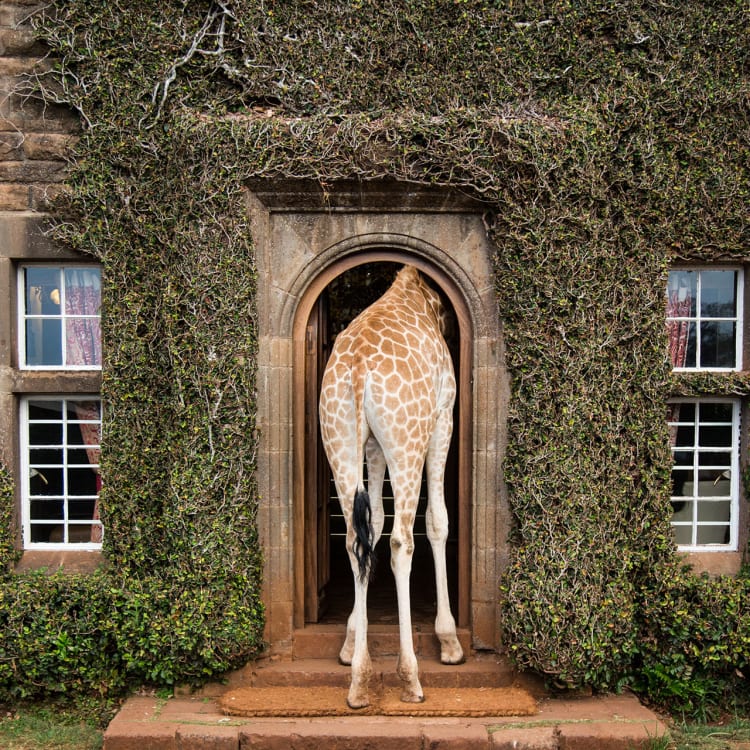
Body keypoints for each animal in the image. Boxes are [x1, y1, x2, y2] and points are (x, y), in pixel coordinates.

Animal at [318, 264, 464, 709]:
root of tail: (359, 367)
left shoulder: (372, 444)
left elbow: (376, 522)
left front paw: (351, 639)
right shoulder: (444, 417)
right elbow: (437, 522)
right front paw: (449, 640)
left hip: (339, 437)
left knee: (355, 538)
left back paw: (359, 680)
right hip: (409, 438)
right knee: (403, 540)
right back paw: (410, 676)